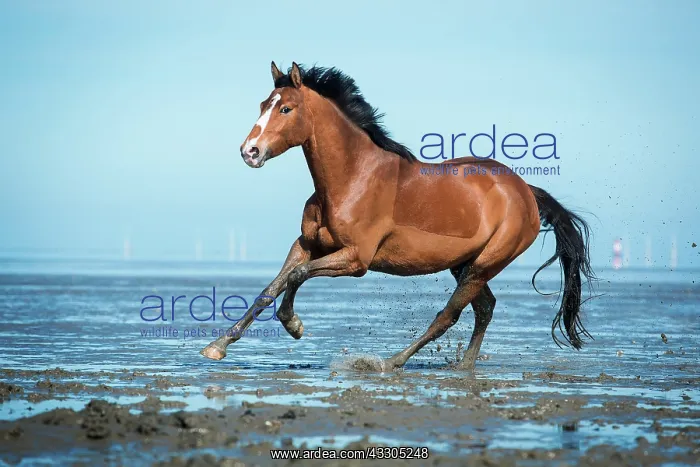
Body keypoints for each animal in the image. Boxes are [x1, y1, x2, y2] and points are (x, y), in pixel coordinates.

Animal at [200, 61, 595, 371]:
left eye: (286, 109)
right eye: (263, 104)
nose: (249, 151)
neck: (351, 178)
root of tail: (525, 191)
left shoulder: (356, 260)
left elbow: (297, 276)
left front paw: (293, 324)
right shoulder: (306, 244)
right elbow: (269, 289)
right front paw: (218, 346)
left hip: (485, 264)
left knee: (448, 315)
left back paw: (391, 362)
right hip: (464, 264)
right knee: (484, 309)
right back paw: (463, 367)